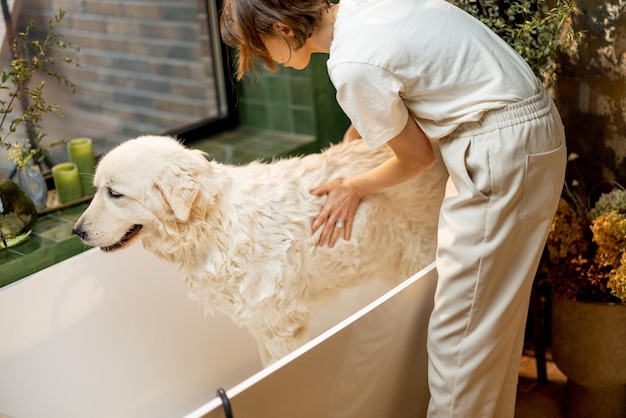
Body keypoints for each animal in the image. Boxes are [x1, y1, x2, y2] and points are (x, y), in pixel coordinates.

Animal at [72, 136, 444, 364]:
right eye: (97, 190)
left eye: (115, 193)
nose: (77, 231)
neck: (214, 224)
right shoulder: (261, 324)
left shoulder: (280, 326)